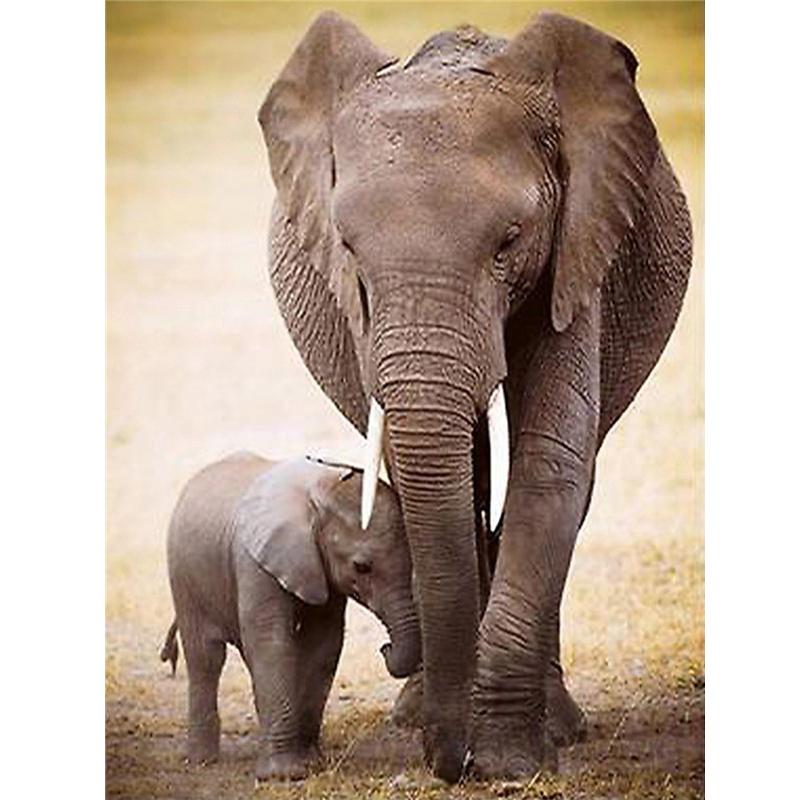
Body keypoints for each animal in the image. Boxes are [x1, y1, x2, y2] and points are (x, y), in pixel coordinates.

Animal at [161, 452, 421, 780]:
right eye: (362, 567)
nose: (385, 648)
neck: (320, 492)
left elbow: (323, 642)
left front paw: (310, 763)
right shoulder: (255, 562)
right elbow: (272, 642)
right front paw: (283, 775)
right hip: (183, 575)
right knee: (205, 658)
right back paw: (201, 760)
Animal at [258, 11, 692, 782]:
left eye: (509, 242)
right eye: (348, 248)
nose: (448, 762)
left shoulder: (579, 244)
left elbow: (551, 462)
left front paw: (510, 763)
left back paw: (558, 726)